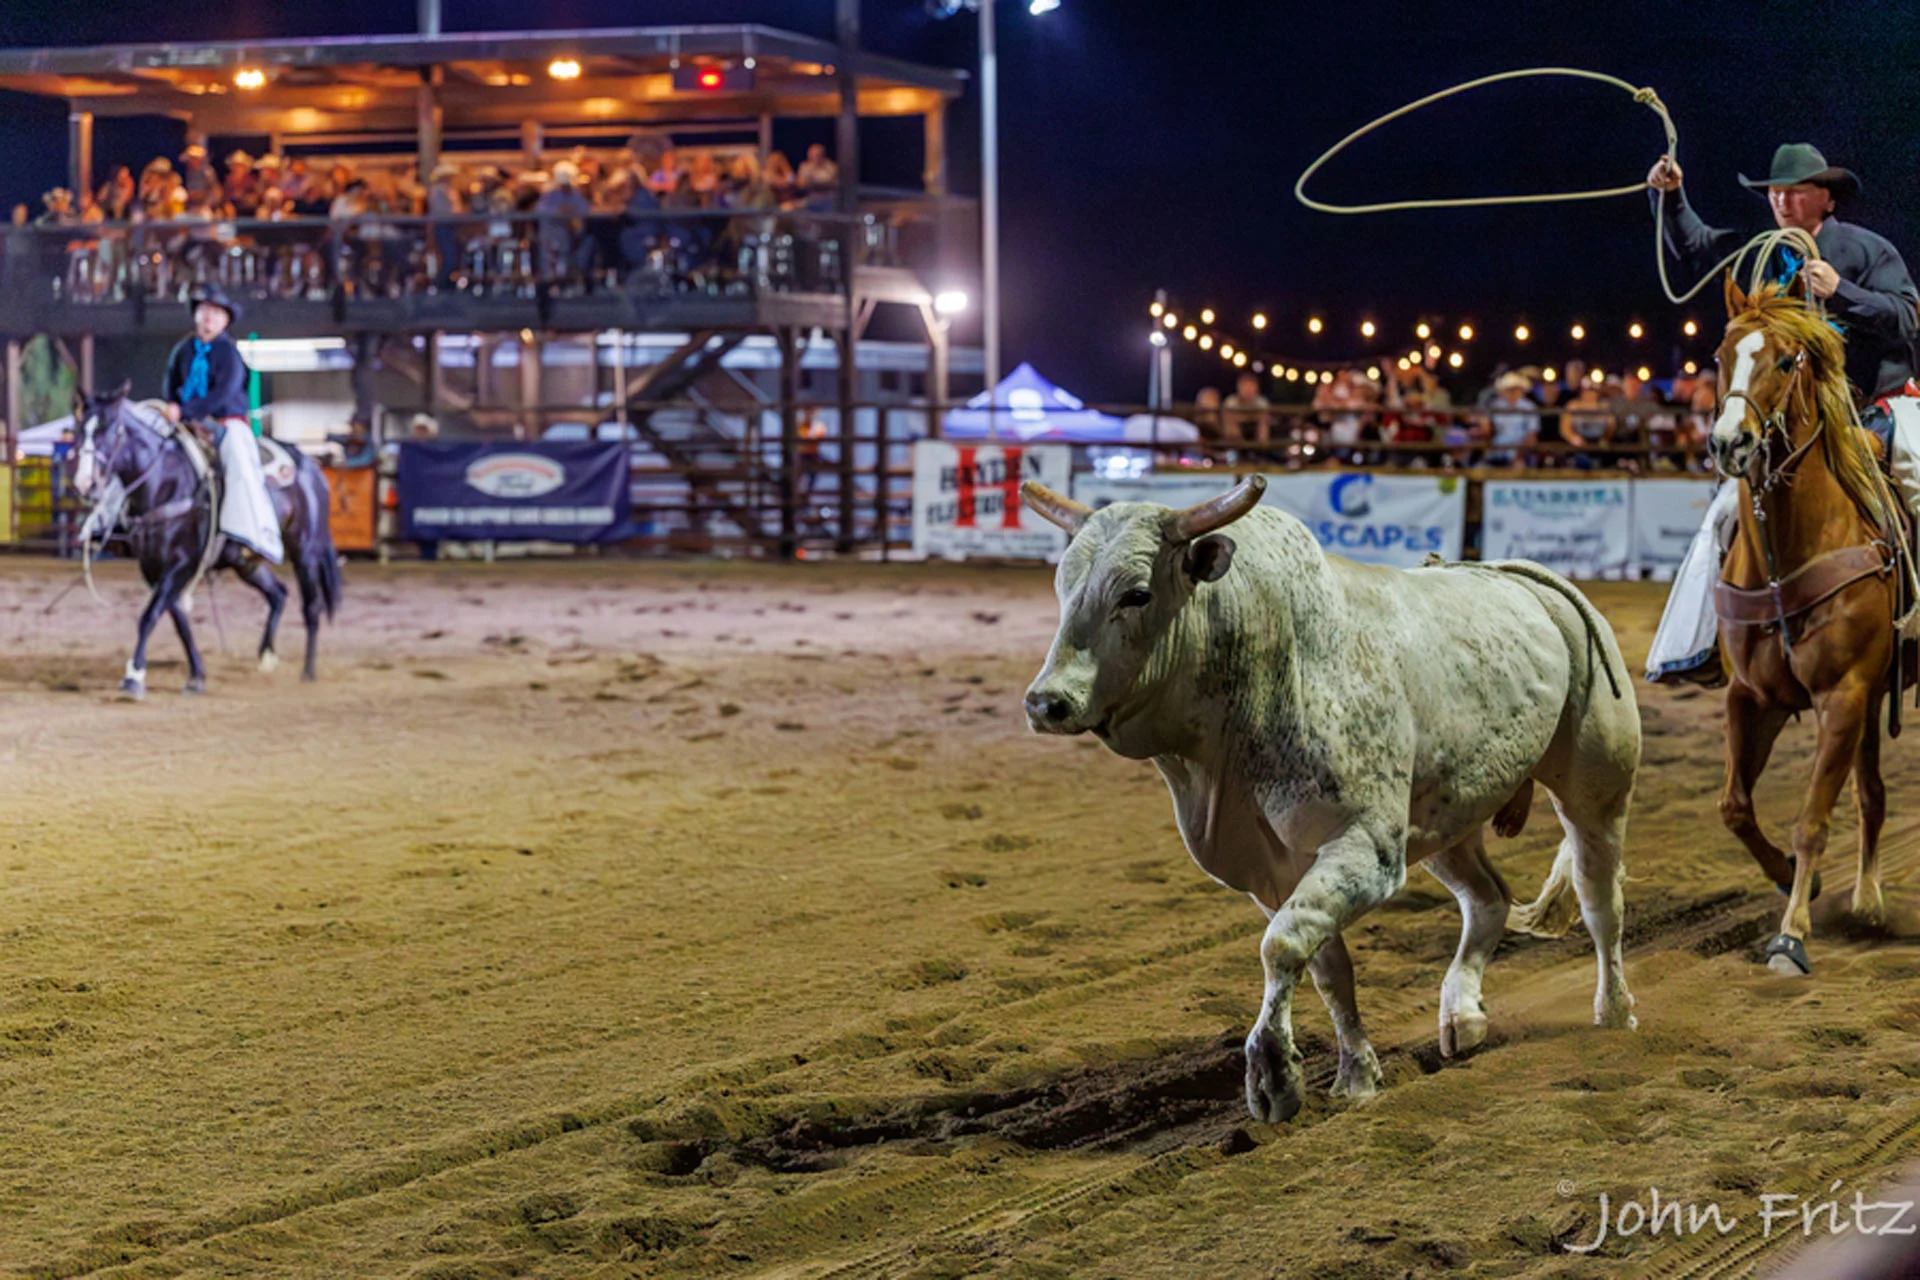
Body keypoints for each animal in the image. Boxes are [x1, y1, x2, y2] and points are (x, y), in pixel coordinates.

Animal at [1020, 475, 1641, 1123]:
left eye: (1137, 593)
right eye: (1063, 586)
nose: (1046, 702)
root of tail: (1524, 578)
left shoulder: (1366, 847)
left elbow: (1283, 943)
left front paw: (1273, 1074)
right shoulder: (1273, 873)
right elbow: (1326, 964)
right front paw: (1357, 1073)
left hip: (1597, 789)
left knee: (1600, 898)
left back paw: (1614, 1010)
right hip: (1445, 818)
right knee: (1488, 899)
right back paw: (1463, 1015)